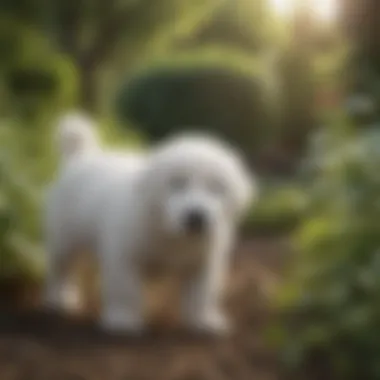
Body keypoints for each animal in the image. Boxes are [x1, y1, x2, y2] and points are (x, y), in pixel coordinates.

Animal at [44, 112, 256, 332]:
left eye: (217, 188)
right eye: (177, 183)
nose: (196, 216)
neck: (171, 233)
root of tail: (83, 156)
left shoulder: (204, 263)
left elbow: (202, 293)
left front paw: (203, 319)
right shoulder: (124, 256)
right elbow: (125, 289)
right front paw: (124, 319)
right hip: (64, 236)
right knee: (60, 268)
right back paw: (60, 298)